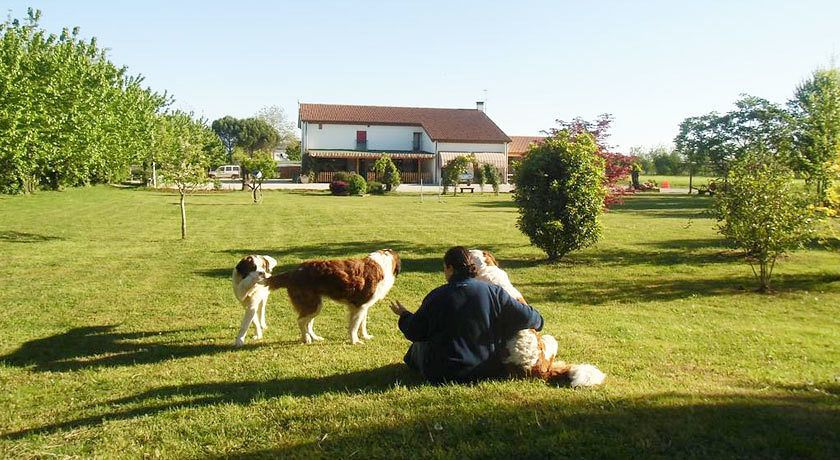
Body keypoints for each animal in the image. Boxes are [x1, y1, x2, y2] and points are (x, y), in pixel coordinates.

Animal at [268, 250, 402, 344]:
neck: (382, 263)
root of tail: (294, 272)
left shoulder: (363, 307)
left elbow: (362, 324)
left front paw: (365, 336)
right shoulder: (359, 306)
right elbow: (355, 326)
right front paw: (355, 341)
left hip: (316, 306)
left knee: (308, 323)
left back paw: (315, 337)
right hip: (312, 305)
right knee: (301, 321)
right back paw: (306, 339)